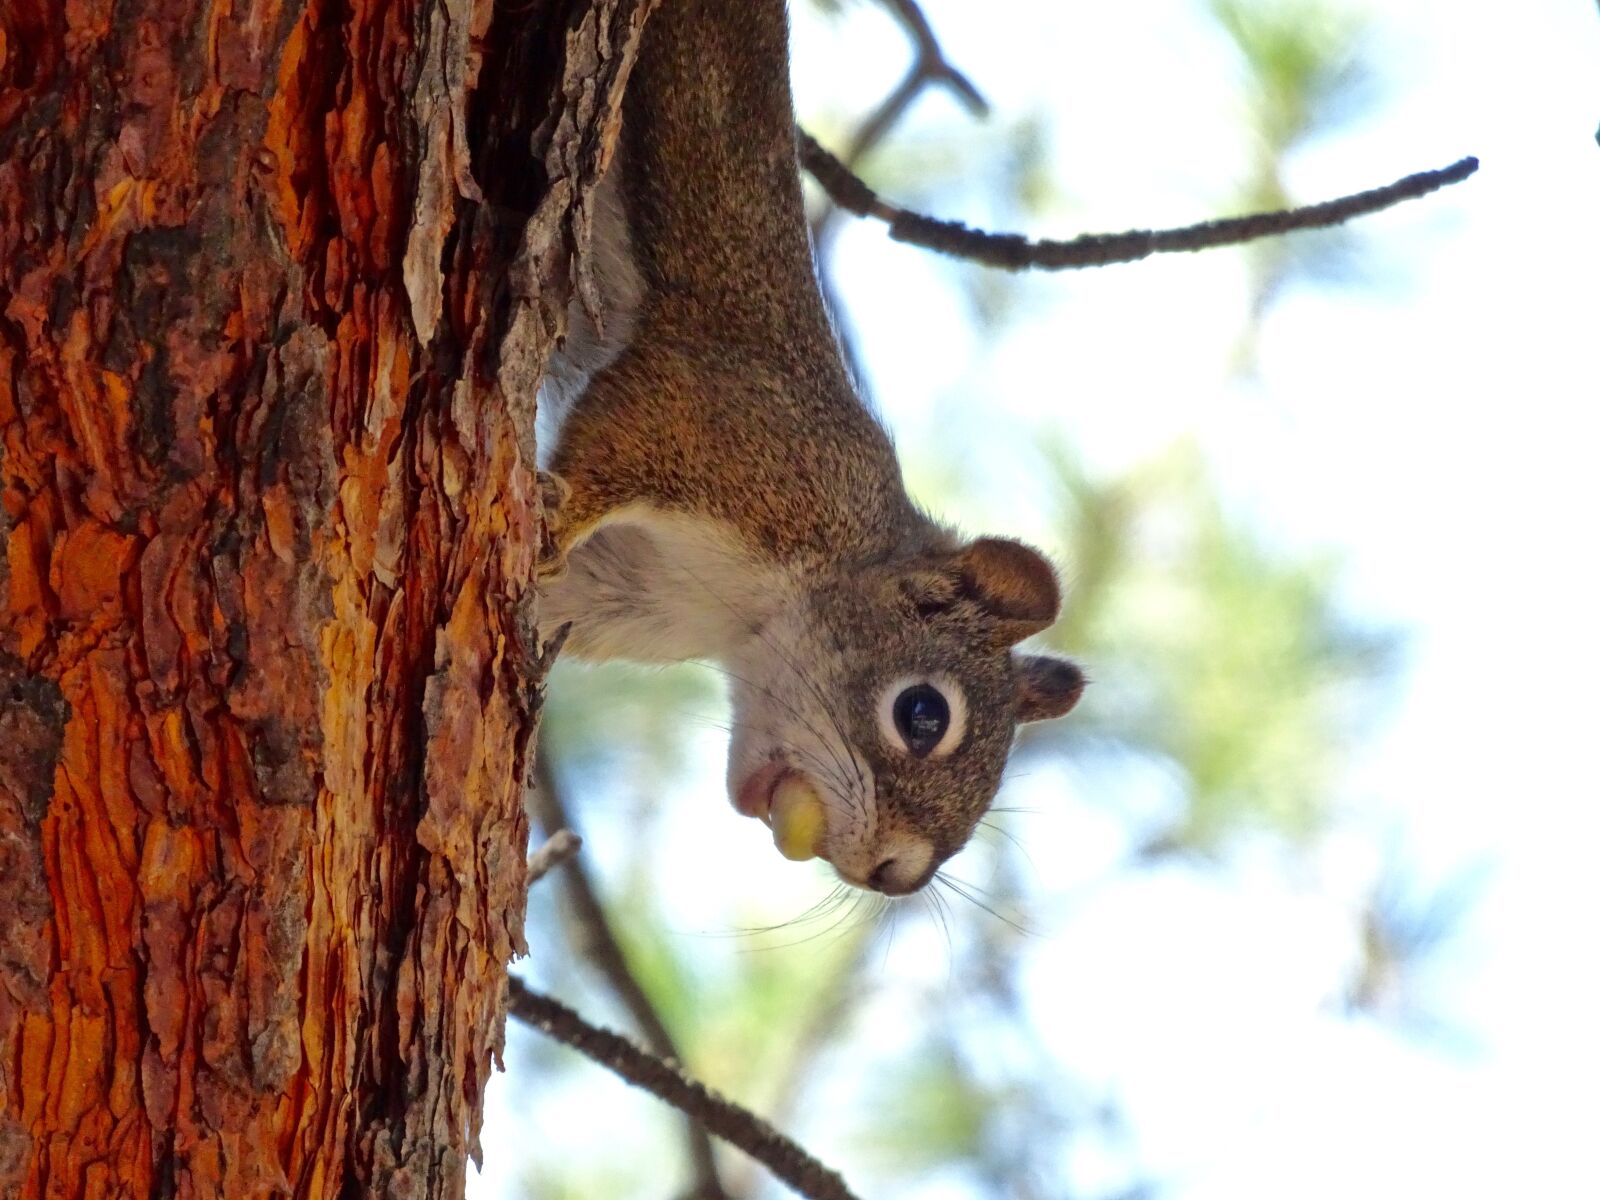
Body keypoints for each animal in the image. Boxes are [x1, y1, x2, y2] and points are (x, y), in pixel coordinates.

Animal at [535, 0, 1085, 896]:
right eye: (923, 714)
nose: (894, 875)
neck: (748, 610)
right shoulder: (728, 434)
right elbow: (611, 450)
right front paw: (552, 515)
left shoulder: (628, 590)